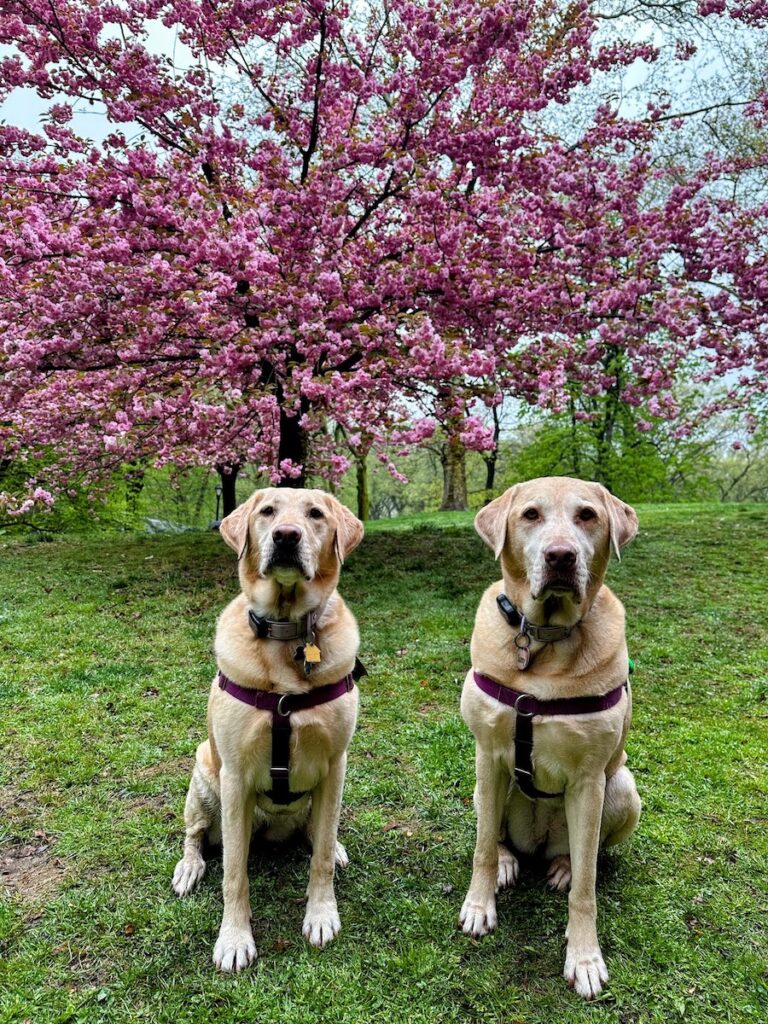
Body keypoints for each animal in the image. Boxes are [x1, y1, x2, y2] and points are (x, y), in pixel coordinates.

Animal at [173, 485, 364, 966]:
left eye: (315, 514)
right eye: (267, 511)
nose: (286, 536)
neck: (286, 632)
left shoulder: (335, 765)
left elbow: (321, 858)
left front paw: (321, 914)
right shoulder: (235, 775)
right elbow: (234, 873)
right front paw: (234, 939)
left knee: (320, 834)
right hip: (204, 777)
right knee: (196, 835)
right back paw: (189, 866)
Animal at [462, 477, 643, 999]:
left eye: (587, 515)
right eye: (530, 515)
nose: (561, 556)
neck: (542, 638)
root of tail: (538, 842)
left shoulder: (588, 780)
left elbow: (586, 887)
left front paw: (584, 958)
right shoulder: (488, 756)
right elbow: (482, 848)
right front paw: (478, 906)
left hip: (622, 789)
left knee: (588, 853)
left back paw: (561, 864)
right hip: (482, 788)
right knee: (496, 835)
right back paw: (509, 860)